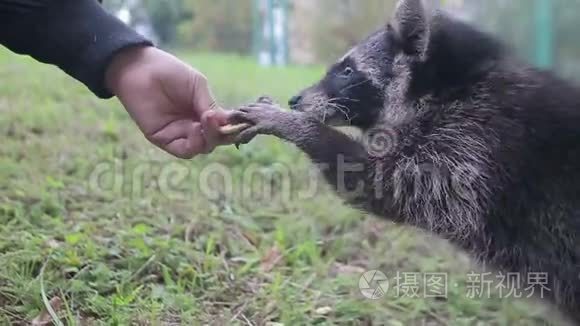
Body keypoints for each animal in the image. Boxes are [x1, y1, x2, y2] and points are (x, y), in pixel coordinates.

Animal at [229, 0, 580, 320]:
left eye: (347, 71)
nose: (294, 100)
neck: (452, 87)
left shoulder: (473, 147)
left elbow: (386, 185)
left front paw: (296, 125)